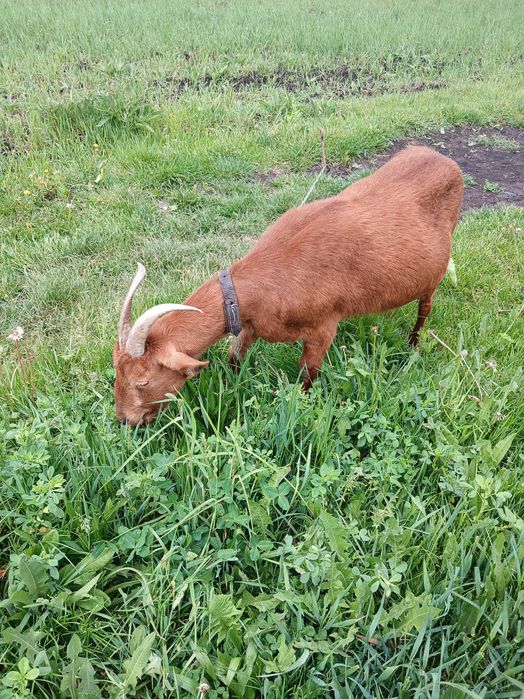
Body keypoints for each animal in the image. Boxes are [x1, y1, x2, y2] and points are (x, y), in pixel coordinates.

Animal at [113, 145, 463, 425]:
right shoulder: (250, 323)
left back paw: (412, 344)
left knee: (425, 307)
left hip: (435, 273)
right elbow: (235, 357)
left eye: (143, 382)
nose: (125, 421)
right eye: (117, 372)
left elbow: (306, 376)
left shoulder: (323, 327)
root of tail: (443, 159)